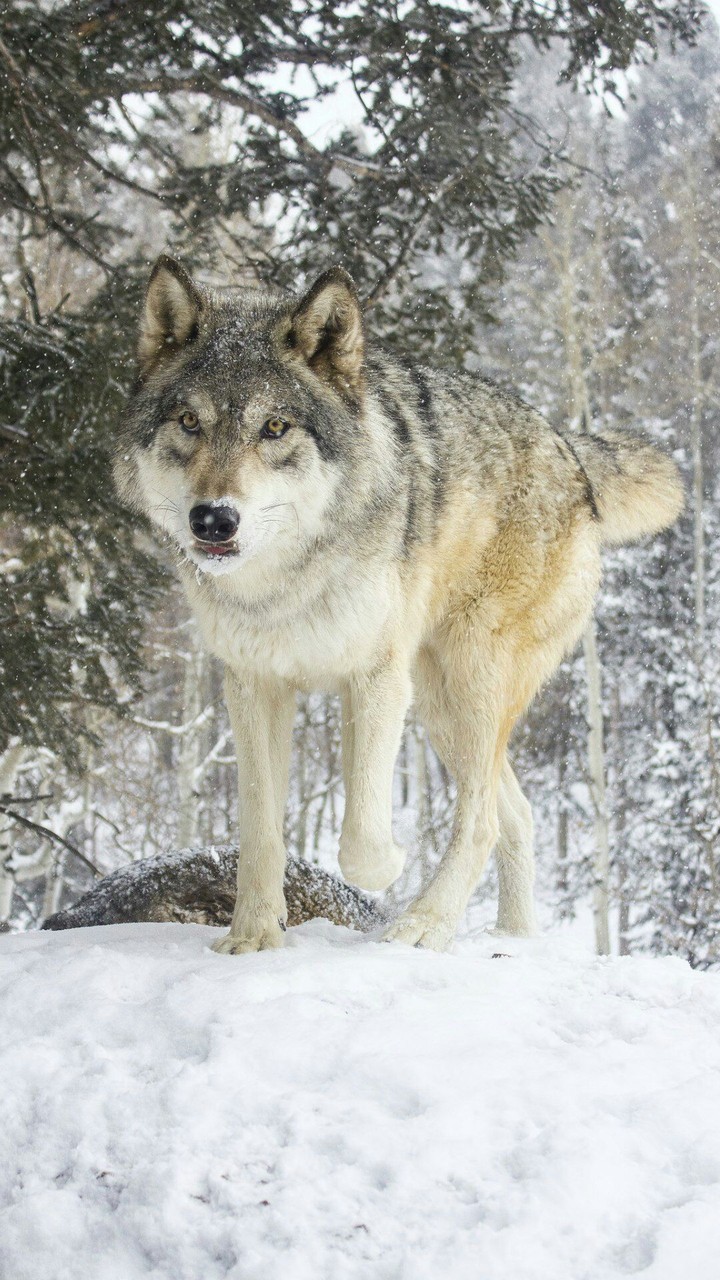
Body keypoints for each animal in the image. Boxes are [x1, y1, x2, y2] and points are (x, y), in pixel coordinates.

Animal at [115, 256, 683, 955]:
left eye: (274, 427)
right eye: (189, 423)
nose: (214, 519)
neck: (285, 585)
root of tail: (568, 448)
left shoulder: (377, 678)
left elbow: (360, 838)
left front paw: (387, 864)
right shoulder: (254, 686)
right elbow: (259, 830)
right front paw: (252, 936)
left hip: (466, 680)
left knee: (482, 817)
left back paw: (422, 926)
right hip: (442, 706)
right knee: (515, 812)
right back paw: (512, 941)